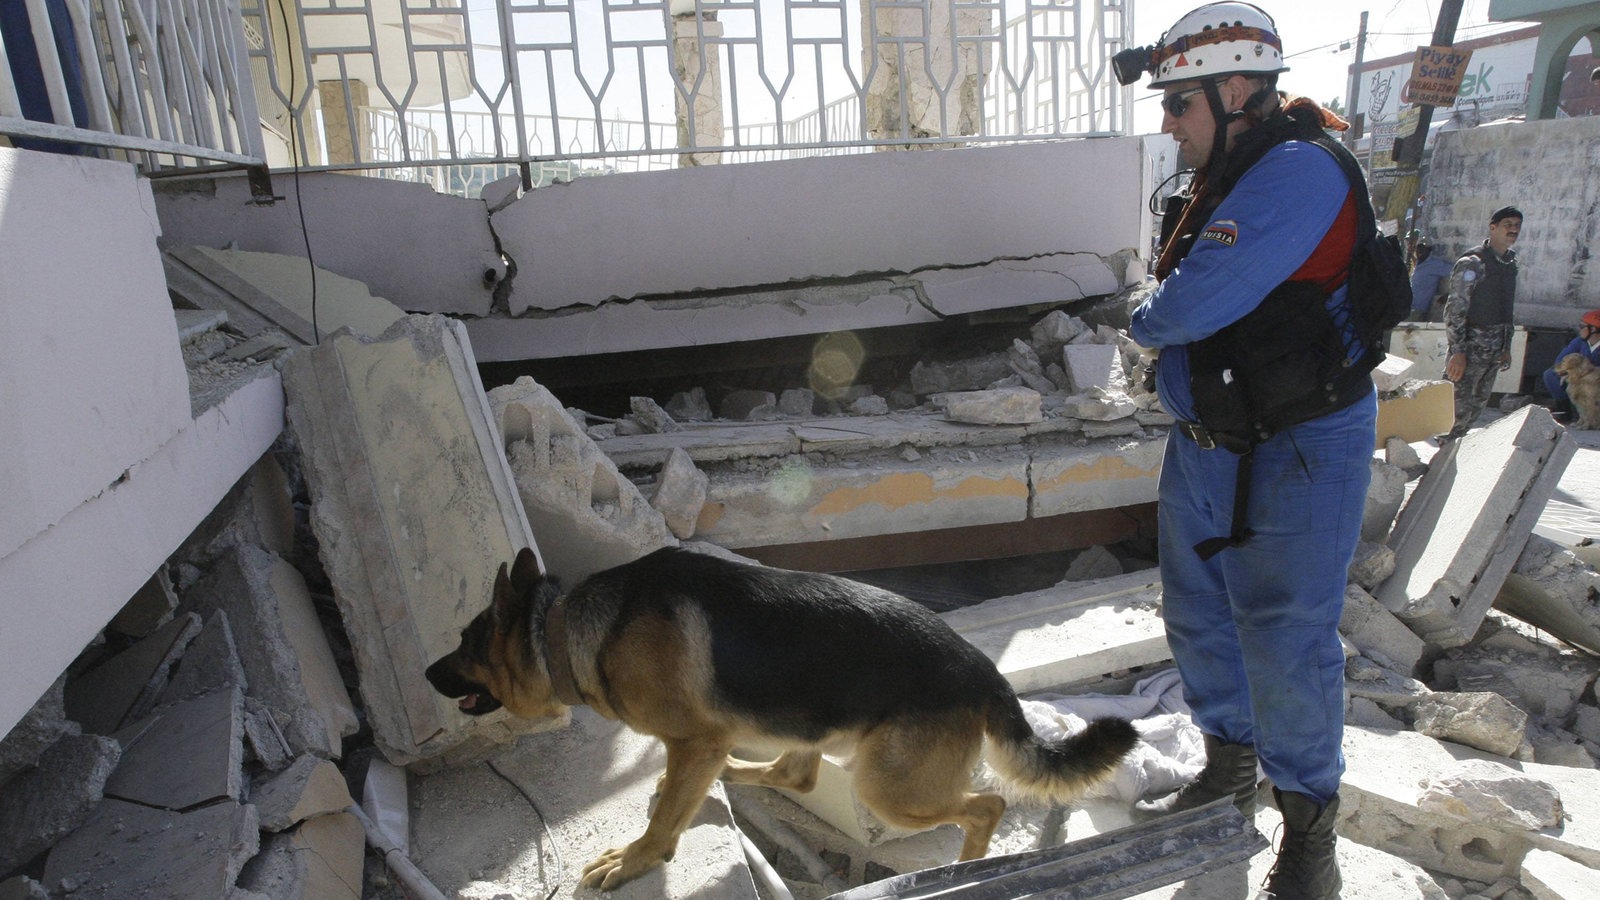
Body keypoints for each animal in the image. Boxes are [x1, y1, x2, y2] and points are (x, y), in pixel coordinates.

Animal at [428, 544, 1139, 883]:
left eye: (464, 642)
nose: (429, 674)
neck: (563, 626)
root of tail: (985, 671)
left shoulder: (693, 740)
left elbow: (661, 827)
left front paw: (634, 860)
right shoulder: (699, 745)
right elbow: (679, 796)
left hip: (885, 786)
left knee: (985, 805)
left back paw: (967, 867)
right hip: (811, 728)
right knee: (793, 773)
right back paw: (729, 776)